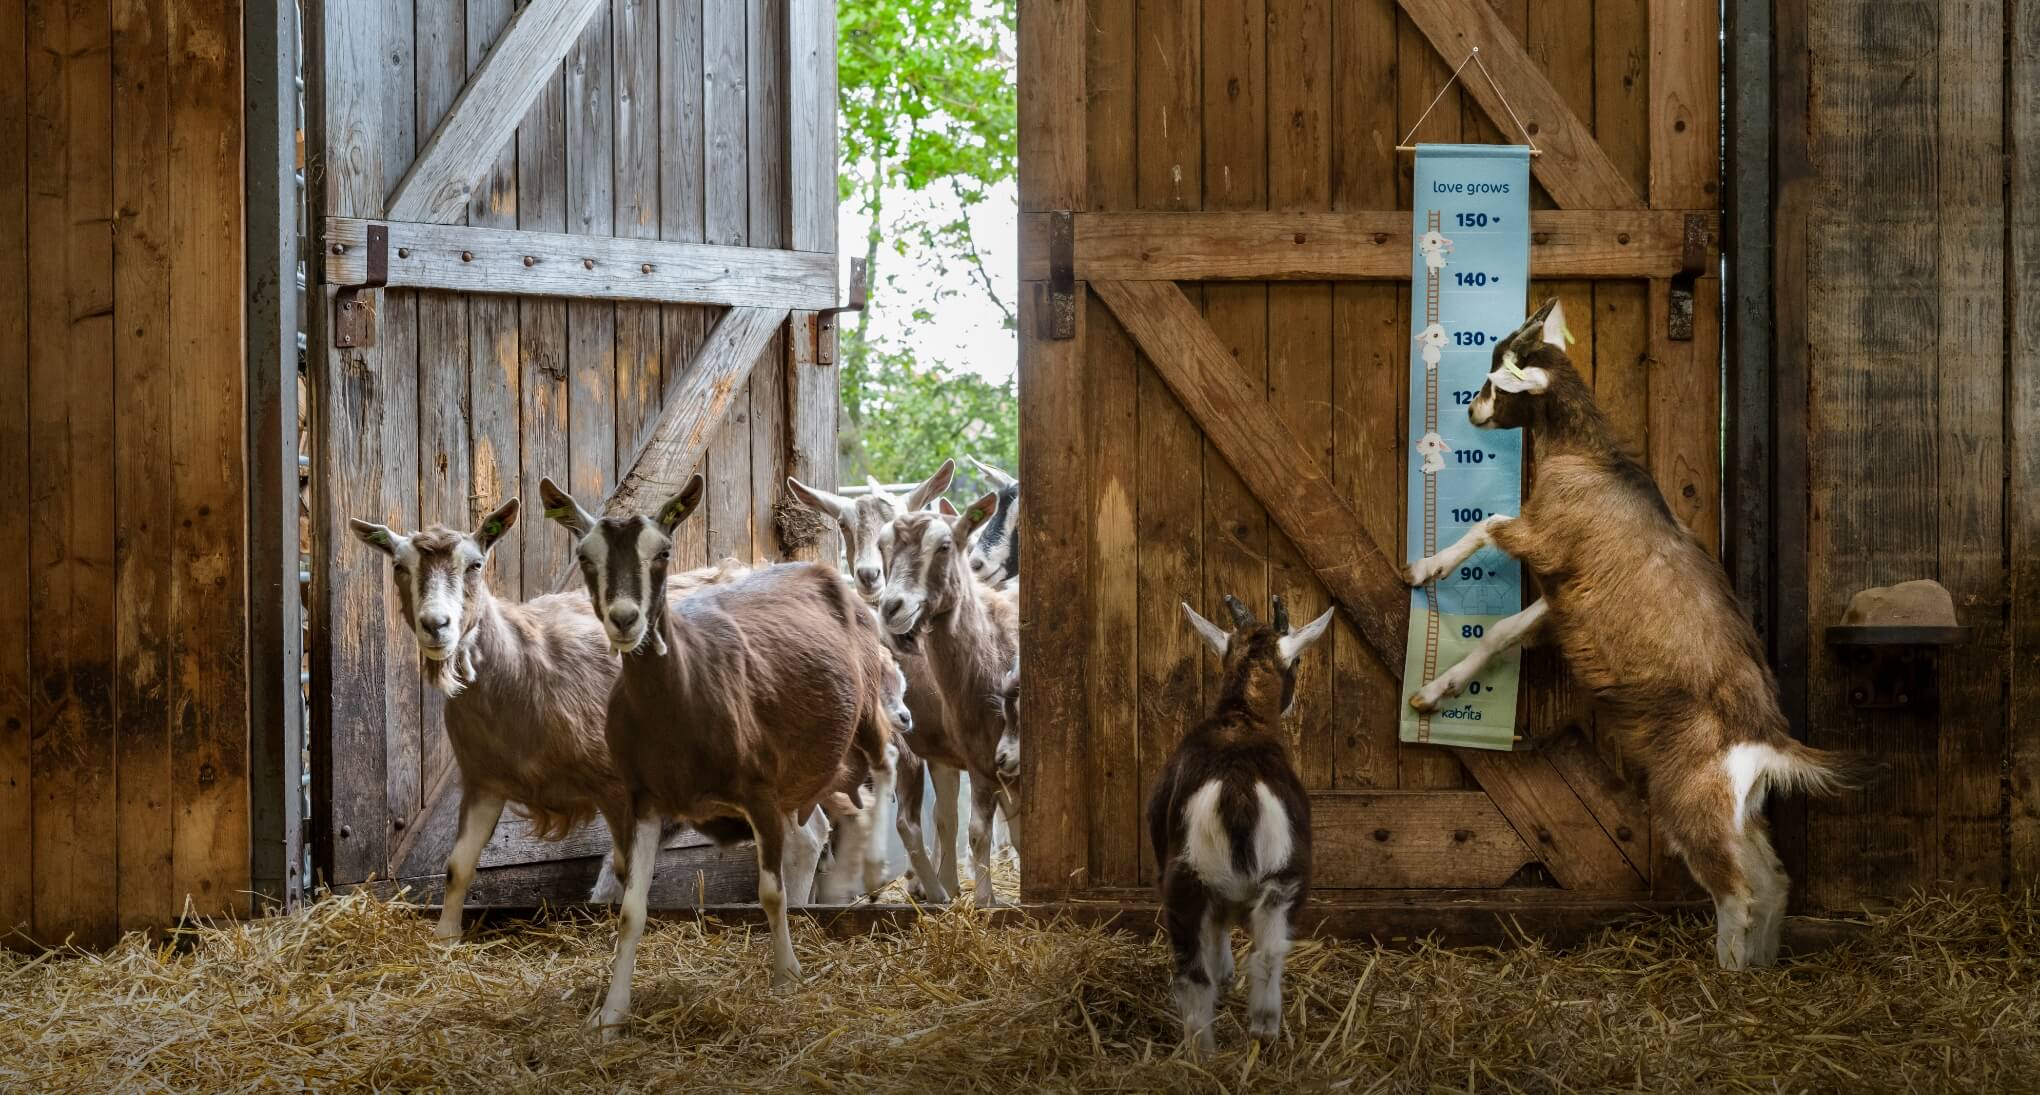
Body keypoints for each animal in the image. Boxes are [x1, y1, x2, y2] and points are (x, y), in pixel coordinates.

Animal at [348, 502, 751, 940]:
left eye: (475, 564)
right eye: (399, 566)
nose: (436, 625)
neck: (519, 666)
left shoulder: (617, 786)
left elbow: (628, 870)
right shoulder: (483, 780)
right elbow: (458, 866)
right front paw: (445, 939)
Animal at [540, 474, 900, 1035]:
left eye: (663, 552)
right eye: (584, 555)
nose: (625, 619)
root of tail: (824, 571)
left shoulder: (759, 793)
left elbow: (770, 894)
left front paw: (785, 979)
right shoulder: (644, 801)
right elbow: (632, 910)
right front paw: (611, 1015)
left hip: (866, 708)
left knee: (886, 762)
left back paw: (878, 867)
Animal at [878, 490, 1021, 905]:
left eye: (944, 546)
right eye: (882, 546)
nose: (892, 607)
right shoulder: (978, 757)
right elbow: (974, 829)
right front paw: (983, 899)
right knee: (929, 820)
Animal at [1150, 594, 1332, 1055]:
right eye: (1297, 660)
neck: (1241, 719)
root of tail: (1237, 789)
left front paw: (1226, 977)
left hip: (1198, 882)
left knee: (1208, 967)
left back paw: (1220, 1046)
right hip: (1281, 878)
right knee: (1257, 956)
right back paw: (1247, 1036)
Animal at [1402, 298, 1873, 971]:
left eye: (1495, 381)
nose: (1471, 411)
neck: (1591, 459)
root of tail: (1766, 739)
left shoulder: (1544, 538)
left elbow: (1489, 523)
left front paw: (1424, 570)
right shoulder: (1565, 599)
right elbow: (1502, 633)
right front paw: (1436, 691)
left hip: (1689, 798)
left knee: (1737, 891)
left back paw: (1725, 972)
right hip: (1735, 809)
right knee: (1772, 879)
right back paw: (1756, 968)